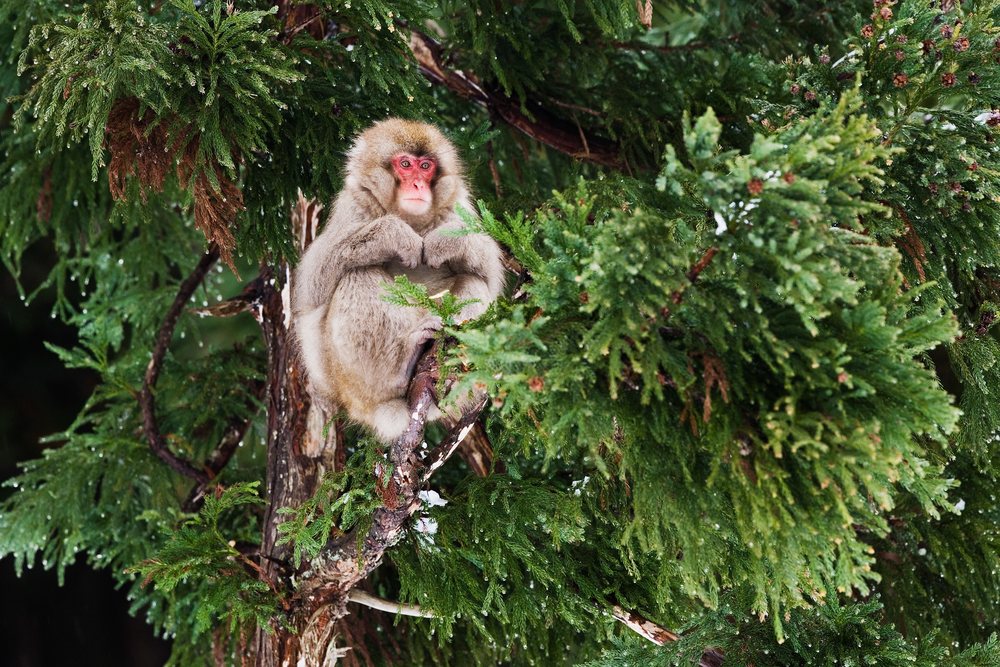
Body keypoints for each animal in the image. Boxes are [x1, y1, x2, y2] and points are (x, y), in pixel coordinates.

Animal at [292, 118, 505, 441]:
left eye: (426, 166)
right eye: (405, 164)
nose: (417, 184)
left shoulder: (458, 206)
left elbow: (491, 276)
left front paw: (444, 241)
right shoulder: (353, 206)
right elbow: (313, 284)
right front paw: (394, 235)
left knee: (474, 281)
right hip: (348, 381)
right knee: (357, 274)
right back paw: (404, 364)